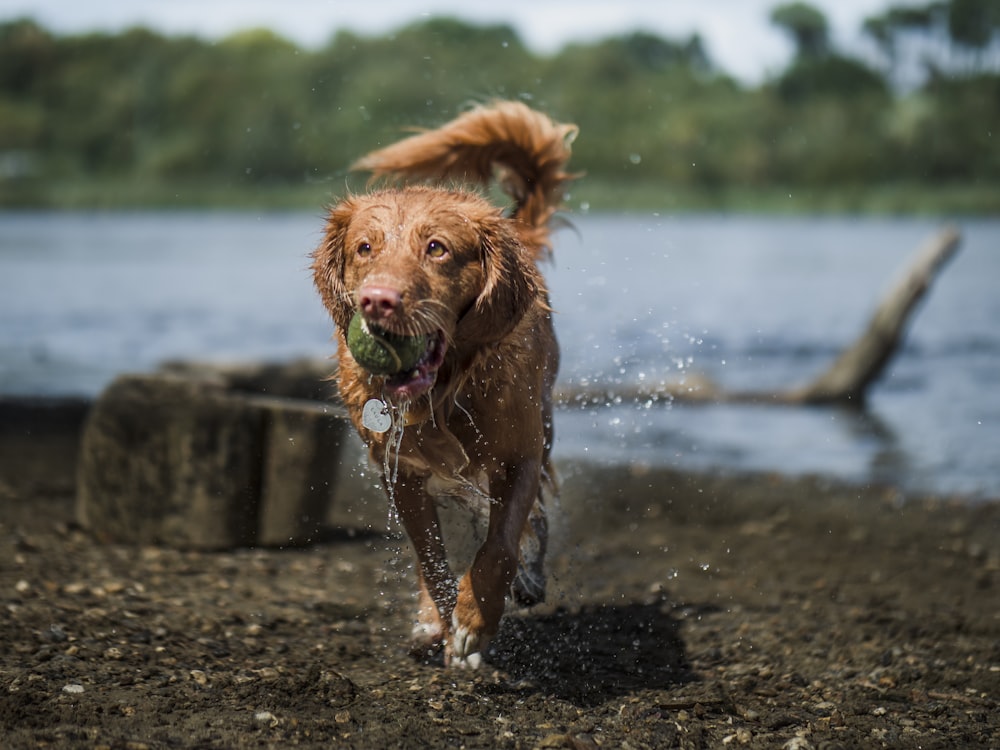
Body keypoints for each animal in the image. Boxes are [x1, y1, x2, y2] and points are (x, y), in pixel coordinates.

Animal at [312, 101, 580, 668]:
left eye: (436, 248)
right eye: (364, 248)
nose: (377, 300)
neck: (443, 393)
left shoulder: (520, 455)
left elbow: (500, 544)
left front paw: (475, 621)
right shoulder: (400, 471)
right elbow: (429, 555)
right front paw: (442, 617)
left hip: (543, 426)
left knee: (535, 521)